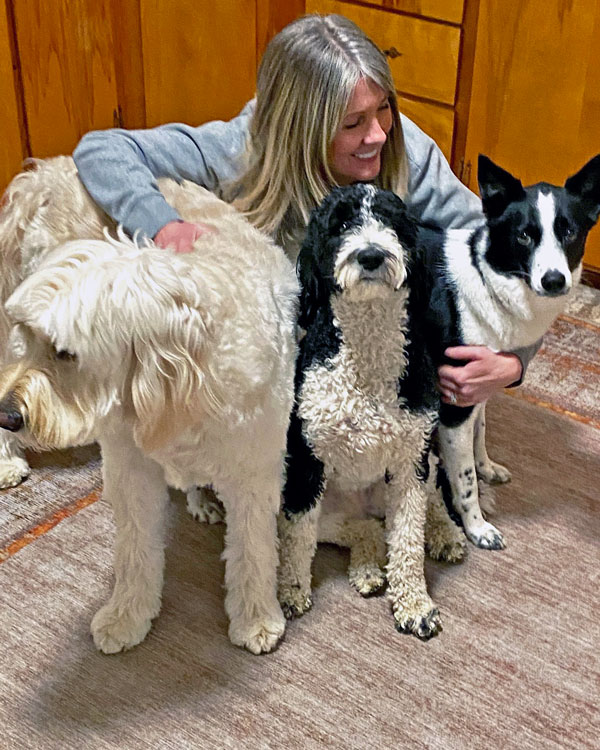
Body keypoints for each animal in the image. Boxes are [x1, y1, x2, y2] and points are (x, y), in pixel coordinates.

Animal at [0, 181, 299, 655]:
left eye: (65, 352)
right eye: (28, 334)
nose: (7, 416)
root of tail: (42, 177)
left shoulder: (254, 472)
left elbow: (253, 549)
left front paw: (256, 618)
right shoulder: (131, 470)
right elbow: (135, 549)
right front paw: (127, 614)